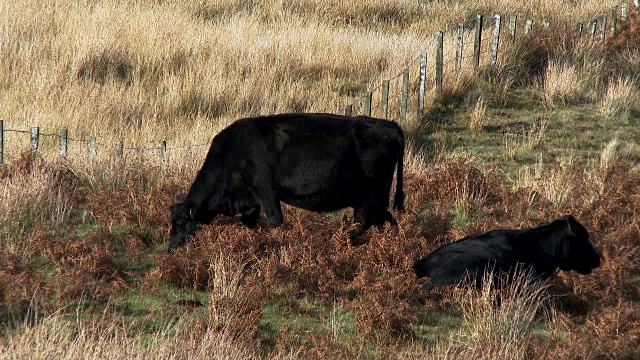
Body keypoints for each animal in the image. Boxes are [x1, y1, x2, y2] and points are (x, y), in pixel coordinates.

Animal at [166, 113, 404, 253]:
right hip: (380, 198)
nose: (170, 250)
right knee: (387, 222)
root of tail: (389, 125)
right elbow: (250, 223)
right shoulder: (250, 202)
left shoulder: (266, 192)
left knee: (361, 223)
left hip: (368, 197)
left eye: (180, 224)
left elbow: (275, 221)